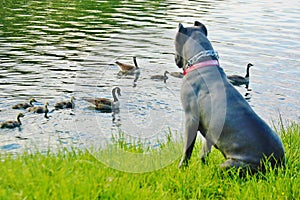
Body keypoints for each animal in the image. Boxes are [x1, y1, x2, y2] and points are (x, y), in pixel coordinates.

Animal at [176, 21, 286, 172]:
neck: (203, 62)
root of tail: (277, 164)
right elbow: (205, 151)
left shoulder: (191, 118)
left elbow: (187, 150)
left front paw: (181, 168)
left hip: (231, 165)